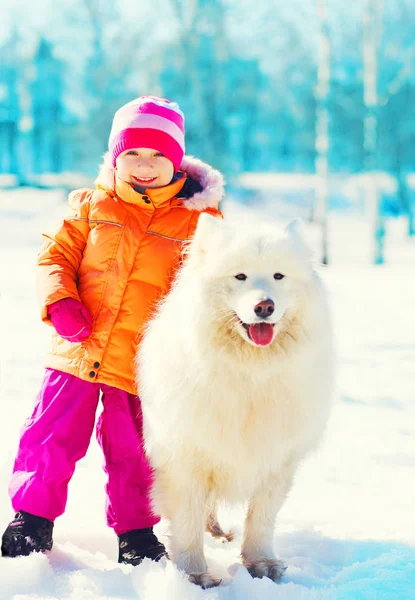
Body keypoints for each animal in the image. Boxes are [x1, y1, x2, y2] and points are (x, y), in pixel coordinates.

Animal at [138, 213, 336, 588]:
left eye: (278, 276)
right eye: (240, 276)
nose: (264, 306)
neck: (249, 372)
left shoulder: (276, 459)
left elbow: (261, 517)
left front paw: (261, 565)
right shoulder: (185, 457)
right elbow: (186, 521)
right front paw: (193, 574)